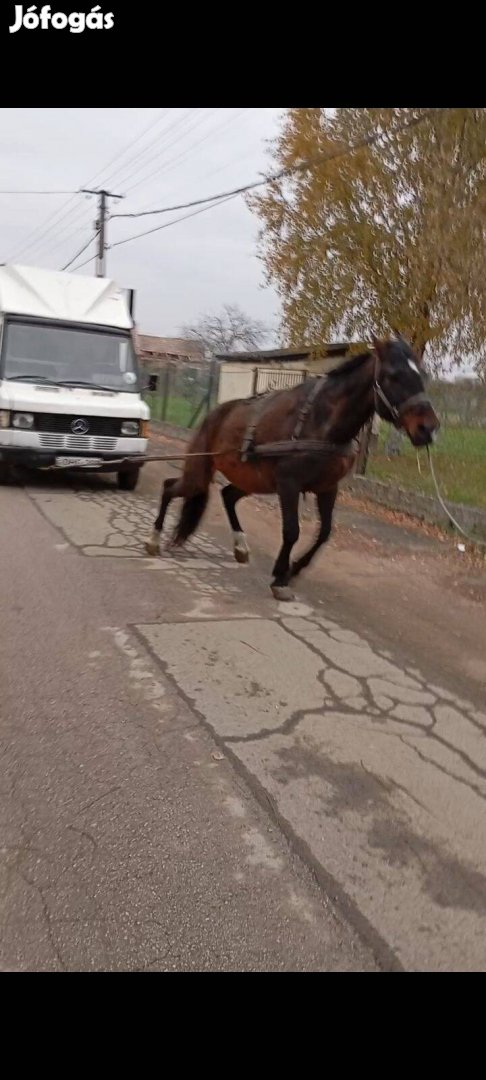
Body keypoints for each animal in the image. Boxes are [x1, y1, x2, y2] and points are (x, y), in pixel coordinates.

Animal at [144, 332, 440, 600]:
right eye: (393, 375)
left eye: (422, 375)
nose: (428, 428)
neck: (321, 423)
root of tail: (216, 413)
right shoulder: (289, 485)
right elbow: (292, 531)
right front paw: (279, 576)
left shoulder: (328, 488)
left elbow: (324, 533)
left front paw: (293, 570)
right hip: (200, 473)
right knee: (170, 488)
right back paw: (154, 540)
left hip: (253, 480)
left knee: (227, 495)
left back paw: (240, 546)